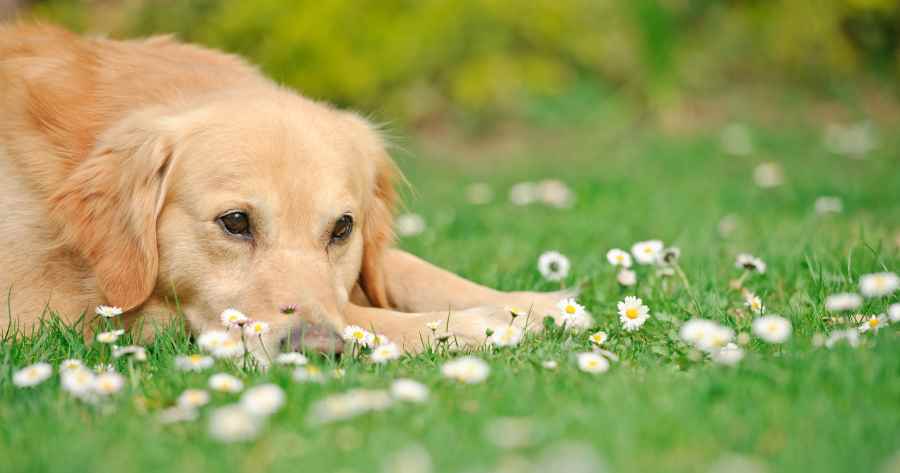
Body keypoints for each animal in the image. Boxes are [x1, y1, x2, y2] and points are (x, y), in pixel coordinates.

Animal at [0, 24, 568, 360]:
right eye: (235, 222)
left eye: (342, 229)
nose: (315, 349)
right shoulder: (58, 316)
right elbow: (361, 315)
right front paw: (470, 325)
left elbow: (406, 270)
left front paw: (535, 304)